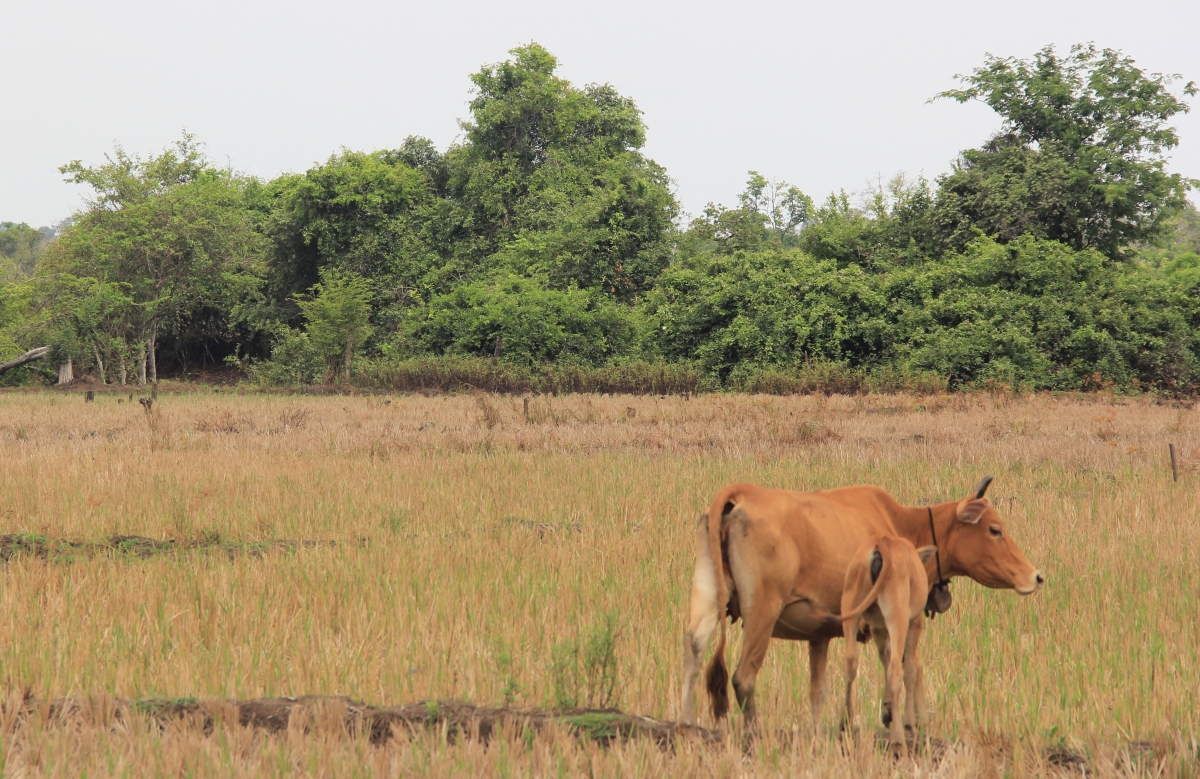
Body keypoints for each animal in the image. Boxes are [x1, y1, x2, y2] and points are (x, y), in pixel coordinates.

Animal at [681, 477, 1046, 724]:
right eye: (995, 529)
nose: (1035, 576)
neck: (899, 524)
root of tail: (742, 492)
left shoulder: (819, 636)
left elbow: (818, 692)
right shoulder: (898, 619)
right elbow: (907, 668)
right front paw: (906, 722)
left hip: (706, 601)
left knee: (693, 656)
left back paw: (684, 727)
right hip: (762, 614)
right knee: (744, 677)